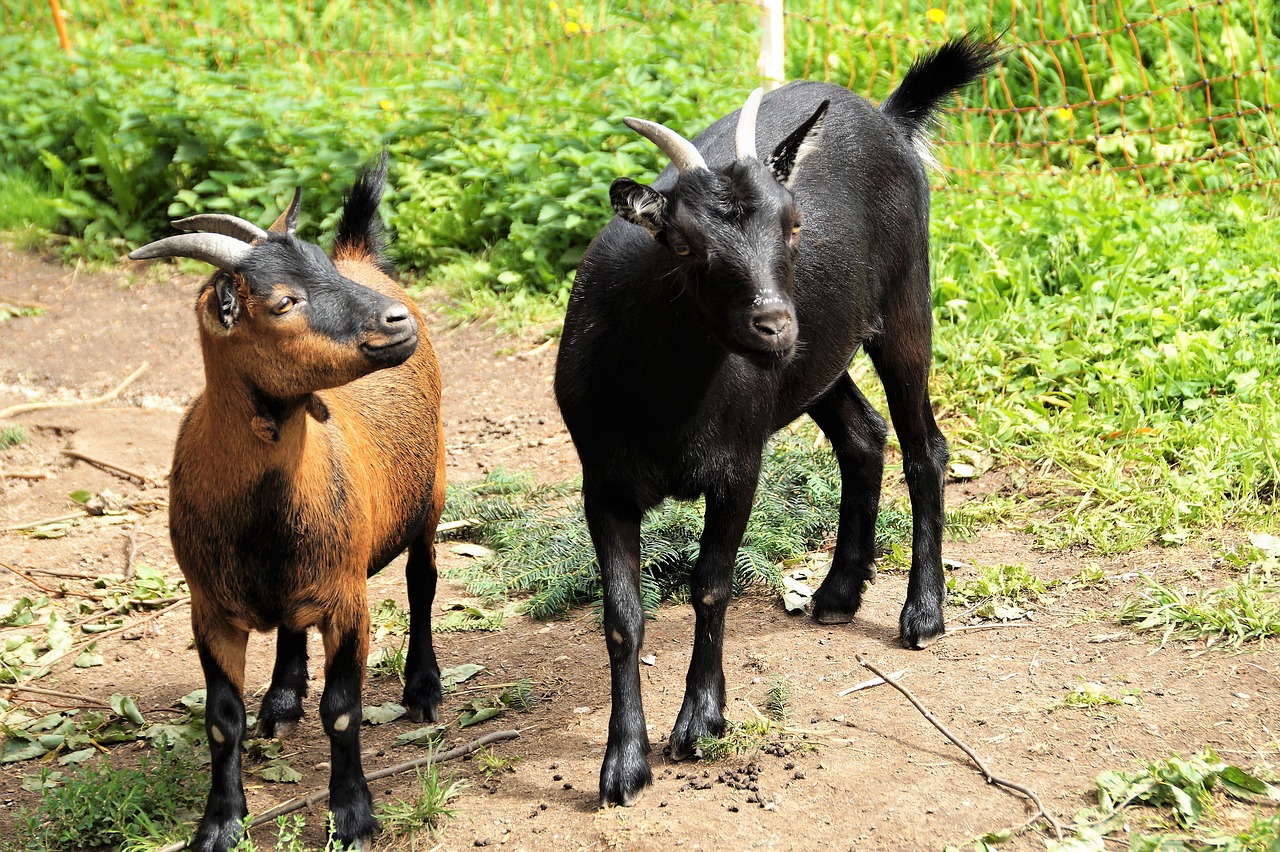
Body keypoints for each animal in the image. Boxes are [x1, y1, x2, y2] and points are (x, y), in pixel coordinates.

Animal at [126, 154, 445, 849]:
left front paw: (352, 815)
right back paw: (282, 696)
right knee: (293, 625)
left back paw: (424, 688)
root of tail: (364, 255)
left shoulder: (348, 598)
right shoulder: (209, 609)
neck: (262, 519)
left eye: (321, 267)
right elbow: (222, 719)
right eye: (283, 302)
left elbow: (344, 710)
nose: (396, 321)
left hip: (431, 492)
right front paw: (220, 821)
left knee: (423, 579)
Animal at [555, 36, 1003, 803]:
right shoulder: (603, 482)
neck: (666, 398)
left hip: (905, 305)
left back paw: (923, 613)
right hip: (815, 358)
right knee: (863, 435)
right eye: (683, 243)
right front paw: (623, 764)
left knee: (927, 446)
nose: (773, 324)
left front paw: (701, 721)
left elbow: (710, 584)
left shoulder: (738, 466)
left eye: (792, 225)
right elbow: (621, 618)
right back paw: (839, 591)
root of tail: (888, 117)